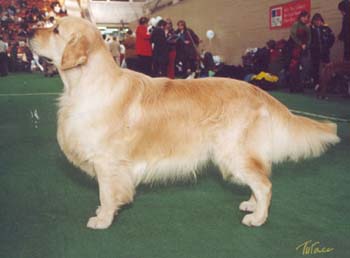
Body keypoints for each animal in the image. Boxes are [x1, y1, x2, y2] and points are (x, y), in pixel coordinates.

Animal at [28, 16, 340, 230]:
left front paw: (102, 219)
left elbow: (106, 194)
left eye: (56, 30)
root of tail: (261, 92)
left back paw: (258, 218)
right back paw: (250, 205)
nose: (29, 32)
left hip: (232, 152)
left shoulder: (107, 161)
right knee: (259, 180)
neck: (86, 84)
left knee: (265, 184)